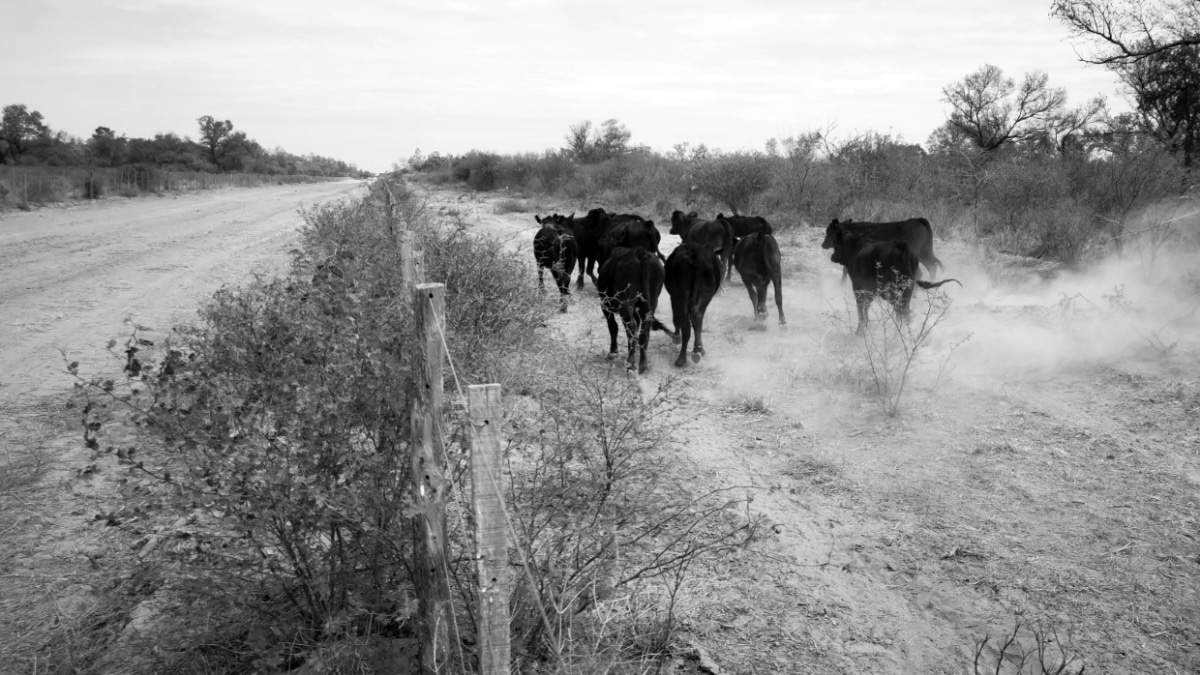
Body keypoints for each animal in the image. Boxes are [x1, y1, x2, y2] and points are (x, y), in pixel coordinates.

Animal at [830, 223, 960, 333]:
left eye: (835, 242)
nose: (832, 257)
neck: (855, 248)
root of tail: (901, 247)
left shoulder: (859, 287)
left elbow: (861, 309)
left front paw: (860, 331)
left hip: (890, 289)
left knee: (899, 308)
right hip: (906, 288)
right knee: (904, 310)